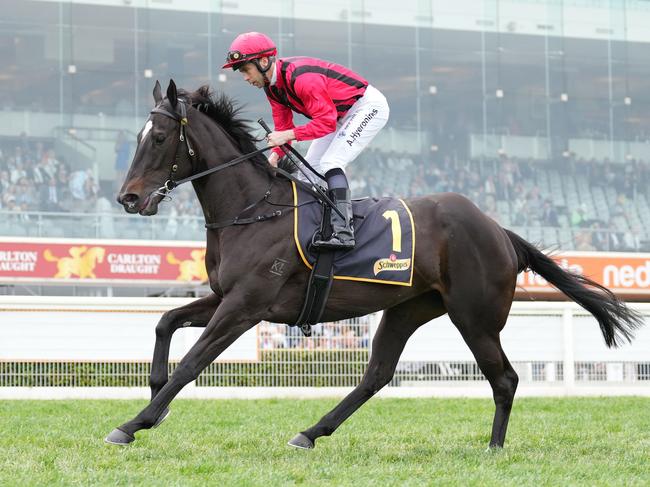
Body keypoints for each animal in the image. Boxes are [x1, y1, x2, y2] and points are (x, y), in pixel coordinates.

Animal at [109, 80, 640, 450]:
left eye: (159, 137)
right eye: (138, 136)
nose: (128, 198)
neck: (253, 208)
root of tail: (497, 229)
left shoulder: (246, 305)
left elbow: (192, 363)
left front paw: (133, 424)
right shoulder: (226, 296)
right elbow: (164, 323)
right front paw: (153, 403)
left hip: (475, 316)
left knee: (504, 378)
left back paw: (494, 446)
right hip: (408, 307)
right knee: (377, 374)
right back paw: (310, 432)